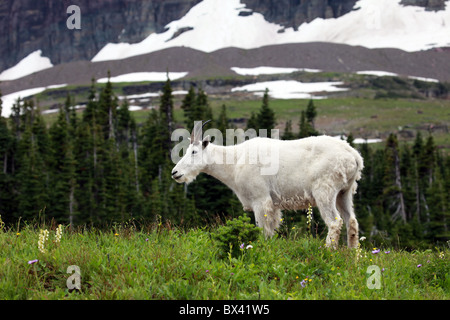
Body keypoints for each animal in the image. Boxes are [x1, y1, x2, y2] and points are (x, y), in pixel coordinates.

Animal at [171, 120, 364, 248]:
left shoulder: (260, 199)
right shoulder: (274, 205)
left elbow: (262, 230)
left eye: (194, 151)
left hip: (325, 191)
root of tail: (354, 156)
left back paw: (328, 251)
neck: (235, 162)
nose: (175, 173)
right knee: (351, 222)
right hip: (345, 192)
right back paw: (353, 258)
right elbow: (271, 230)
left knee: (335, 222)